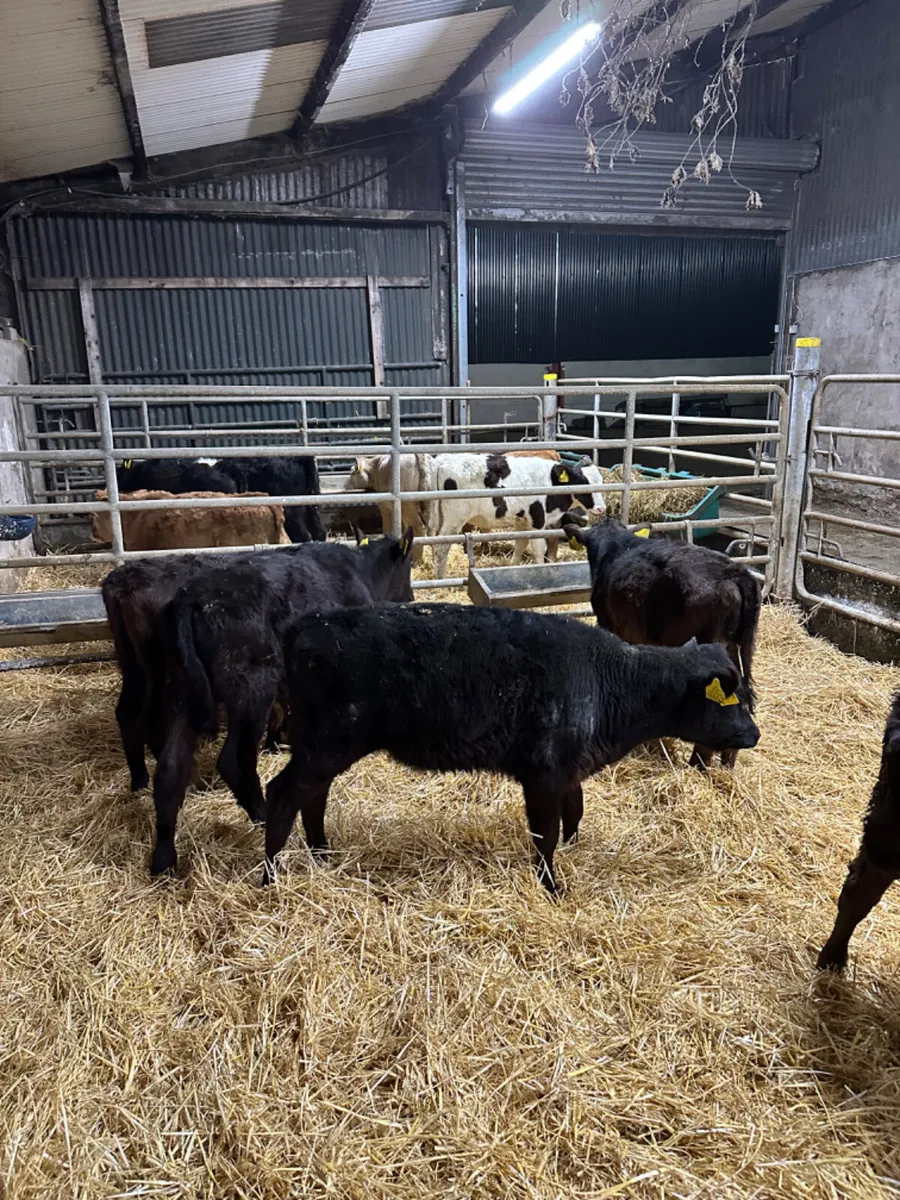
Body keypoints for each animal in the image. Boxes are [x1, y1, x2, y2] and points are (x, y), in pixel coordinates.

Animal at [148, 531, 416, 876]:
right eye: (409, 564)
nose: (410, 597)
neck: (360, 572)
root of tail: (191, 598)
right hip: (252, 689)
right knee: (235, 761)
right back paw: (263, 815)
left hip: (181, 692)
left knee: (170, 768)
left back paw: (163, 860)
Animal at [263, 603, 760, 892]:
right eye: (731, 698)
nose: (754, 734)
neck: (611, 681)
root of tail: (307, 626)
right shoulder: (543, 774)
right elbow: (545, 835)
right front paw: (551, 886)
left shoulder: (567, 771)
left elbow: (574, 815)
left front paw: (573, 852)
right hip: (328, 743)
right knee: (282, 793)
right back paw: (271, 877)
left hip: (325, 747)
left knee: (313, 797)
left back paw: (323, 856)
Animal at [428, 453, 606, 579]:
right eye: (583, 483)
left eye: (601, 481)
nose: (601, 508)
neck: (551, 482)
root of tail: (443, 460)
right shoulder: (538, 521)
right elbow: (538, 550)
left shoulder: (522, 521)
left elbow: (520, 545)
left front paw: (513, 568)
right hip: (455, 518)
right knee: (442, 546)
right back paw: (441, 579)